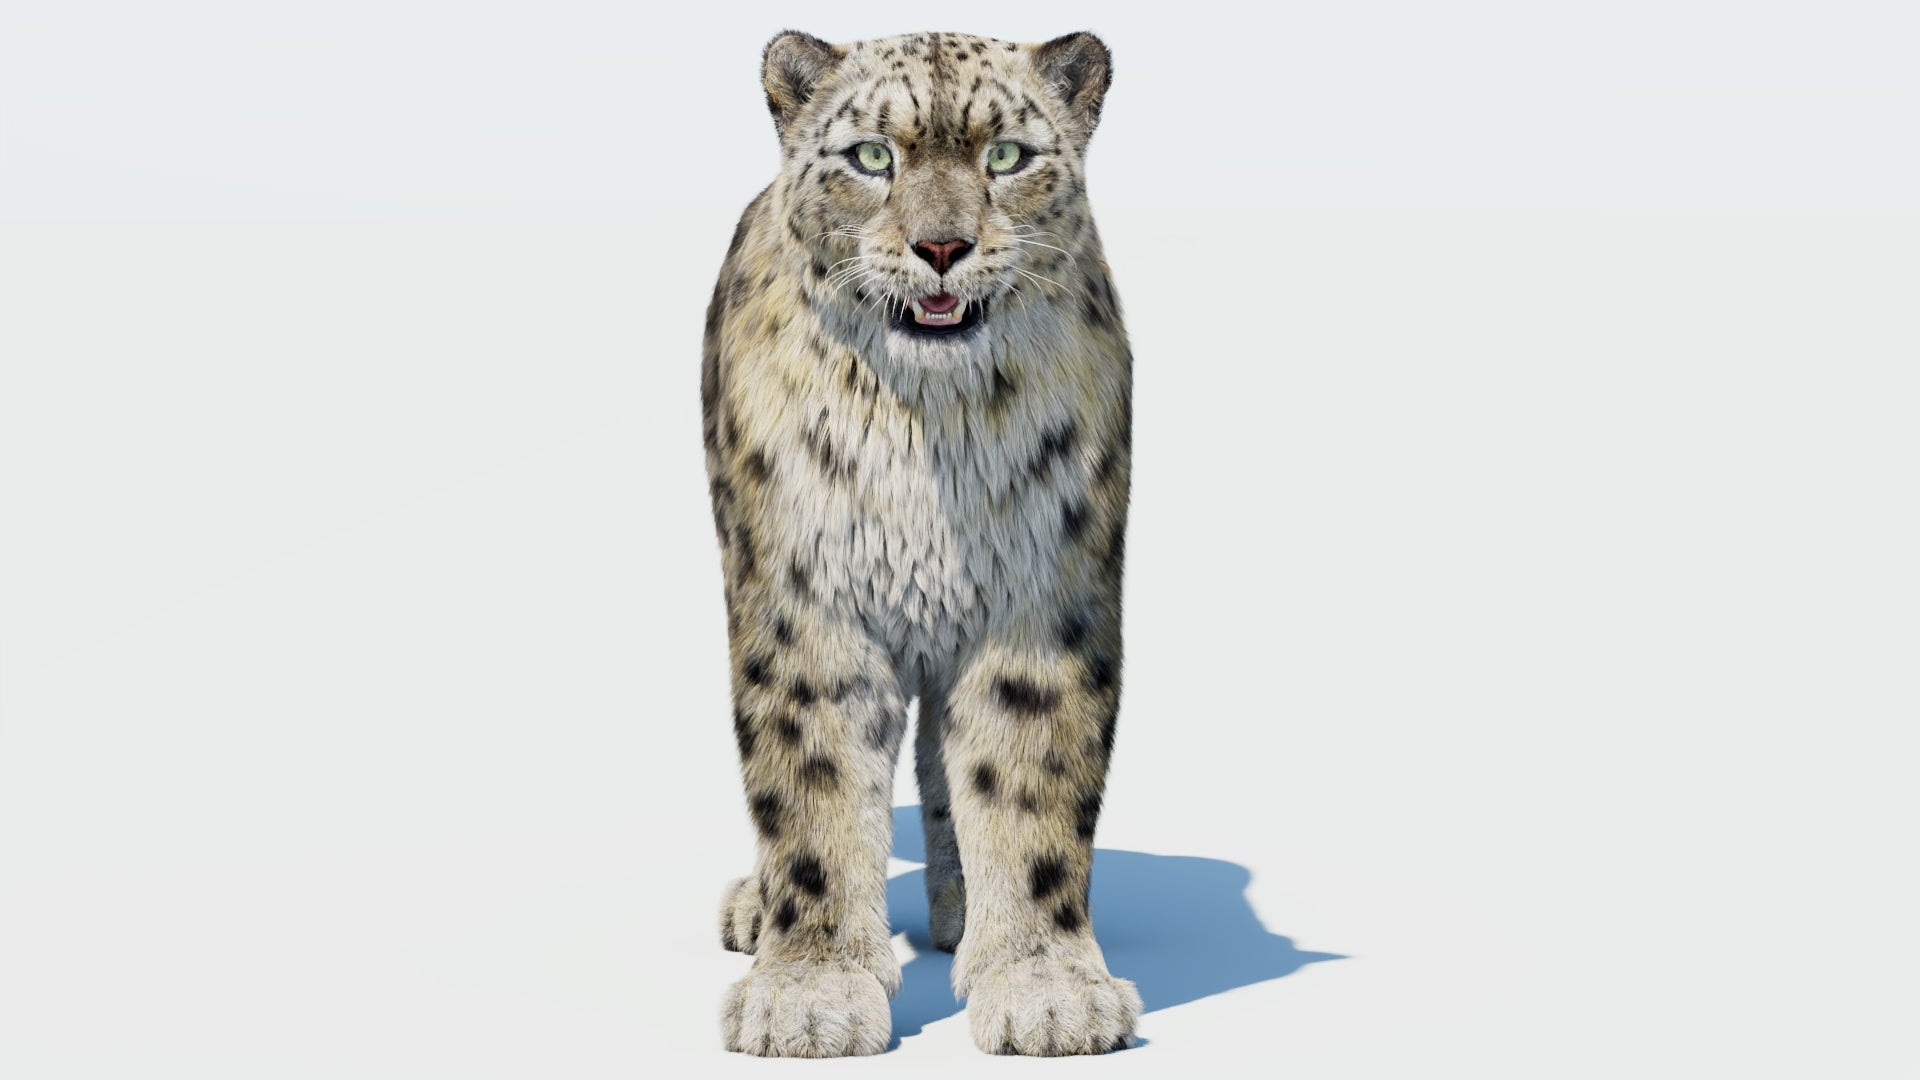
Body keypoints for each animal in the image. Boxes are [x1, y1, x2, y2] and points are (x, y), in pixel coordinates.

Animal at [700, 29, 1137, 1057]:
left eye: (1006, 156)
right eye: (872, 156)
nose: (942, 247)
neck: (927, 436)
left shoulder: (1041, 601)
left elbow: (1026, 781)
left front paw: (1045, 987)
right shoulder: (808, 606)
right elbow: (812, 791)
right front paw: (808, 993)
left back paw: (960, 911)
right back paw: (756, 907)